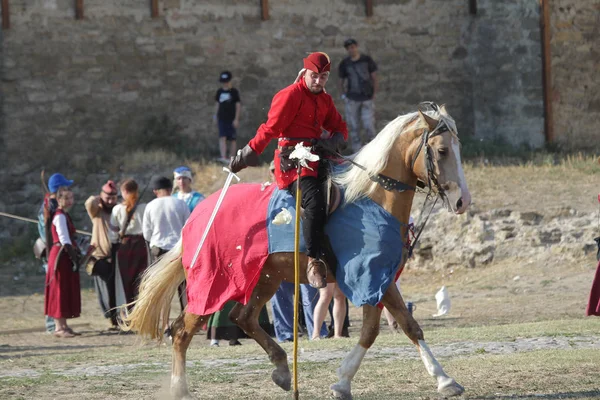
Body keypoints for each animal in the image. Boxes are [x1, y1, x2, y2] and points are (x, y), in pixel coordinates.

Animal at [120, 104, 468, 398]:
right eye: (441, 150)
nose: (462, 201)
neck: (373, 199)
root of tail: (197, 215)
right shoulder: (369, 278)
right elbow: (379, 330)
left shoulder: (382, 279)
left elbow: (402, 327)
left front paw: (443, 380)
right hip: (213, 284)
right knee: (182, 331)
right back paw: (180, 388)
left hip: (266, 278)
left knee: (243, 317)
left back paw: (282, 369)